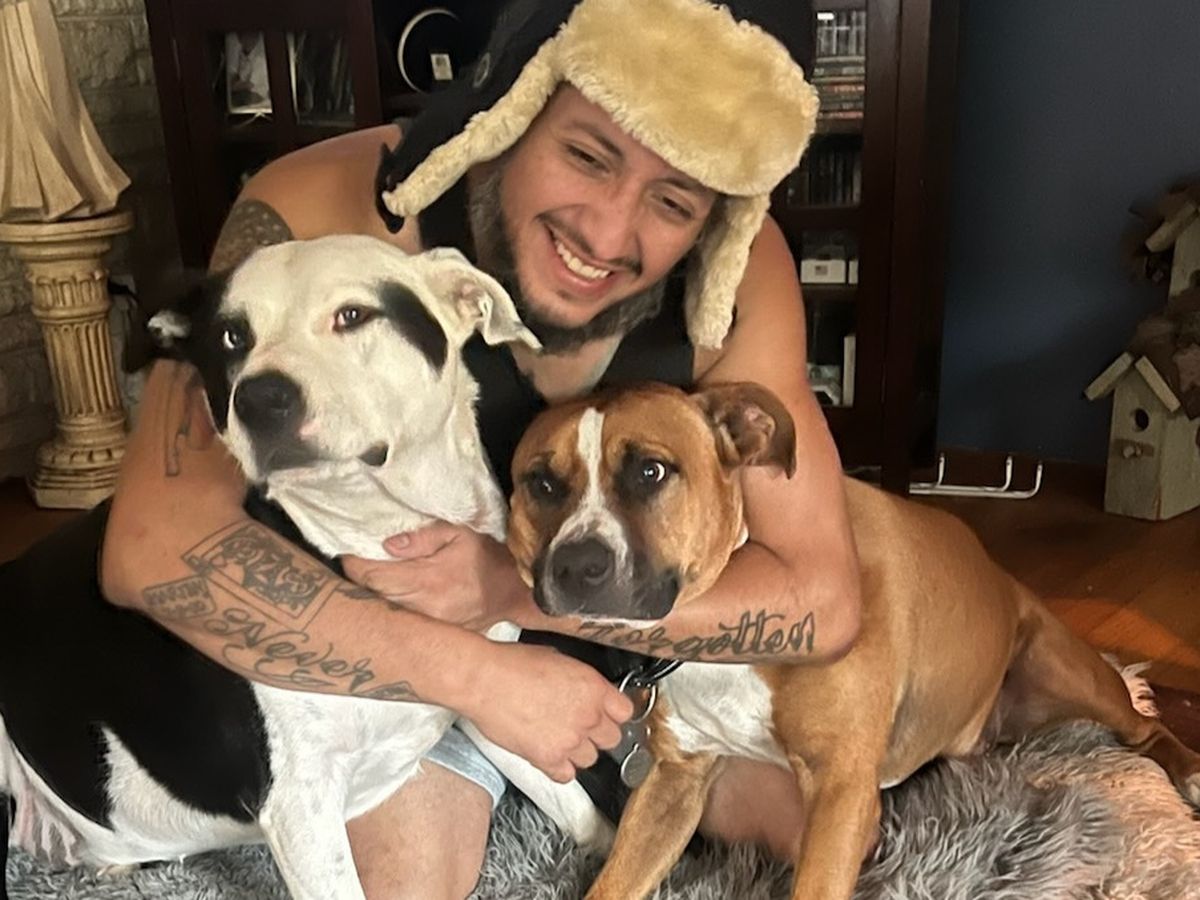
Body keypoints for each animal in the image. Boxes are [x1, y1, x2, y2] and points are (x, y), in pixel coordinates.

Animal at [0, 235, 538, 900]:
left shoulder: (494, 701)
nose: (259, 397)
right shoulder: (301, 808)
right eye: (232, 337)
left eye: (353, 315)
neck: (376, 529)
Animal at [504, 380, 1200, 900]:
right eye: (541, 484)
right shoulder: (673, 784)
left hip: (1071, 670)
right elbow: (613, 882)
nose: (577, 565)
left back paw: (1186, 771)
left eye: (650, 471)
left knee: (1142, 726)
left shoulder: (839, 793)